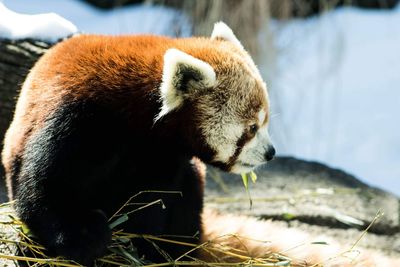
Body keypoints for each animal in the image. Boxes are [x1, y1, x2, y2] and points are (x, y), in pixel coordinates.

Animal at [0, 22, 396, 266]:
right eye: (252, 128)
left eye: (266, 122)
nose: (271, 153)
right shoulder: (75, 120)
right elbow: (43, 187)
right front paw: (83, 235)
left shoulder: (162, 157)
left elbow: (158, 199)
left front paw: (147, 239)